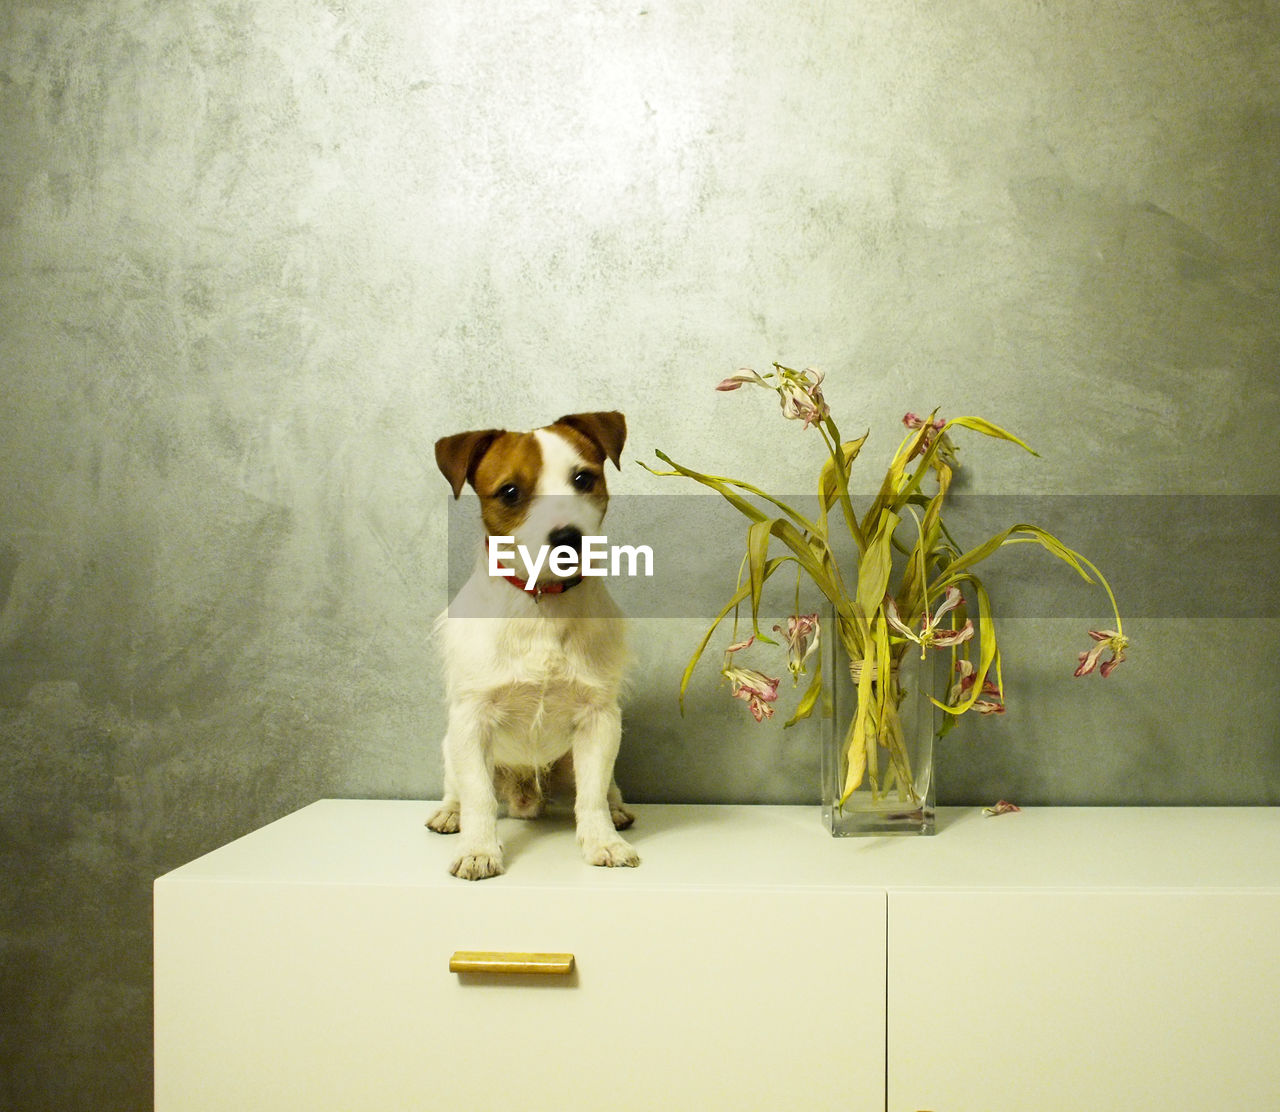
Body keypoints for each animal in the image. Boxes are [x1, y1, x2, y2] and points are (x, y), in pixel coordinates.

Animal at [430, 406, 640, 875]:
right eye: (510, 492)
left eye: (583, 478)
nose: (567, 537)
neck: (542, 604)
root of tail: (525, 792)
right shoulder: (471, 721)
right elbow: (478, 798)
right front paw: (478, 848)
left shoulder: (599, 719)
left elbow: (591, 796)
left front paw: (604, 841)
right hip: (452, 746)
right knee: (458, 787)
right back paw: (450, 813)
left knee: (603, 788)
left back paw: (617, 809)